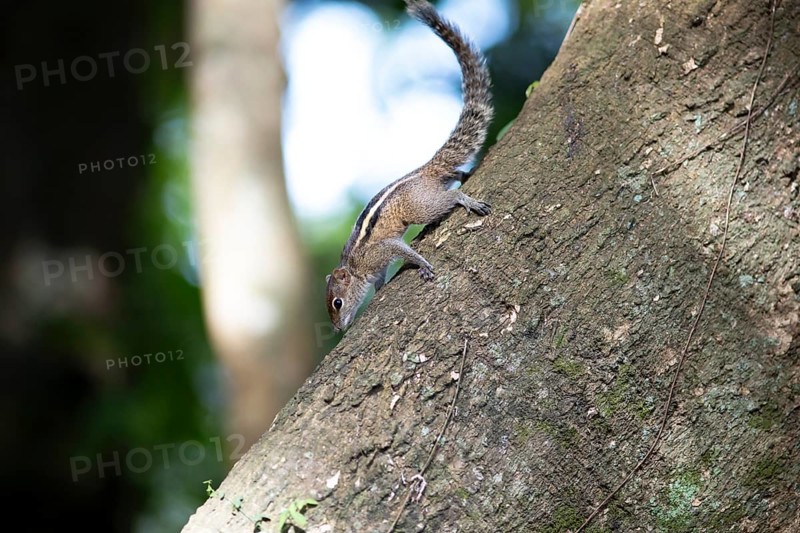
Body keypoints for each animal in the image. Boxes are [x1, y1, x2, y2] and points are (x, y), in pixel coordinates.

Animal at [325, 0, 494, 331]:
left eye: (337, 303)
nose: (338, 328)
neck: (354, 269)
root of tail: (424, 170)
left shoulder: (381, 251)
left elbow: (402, 251)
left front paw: (422, 264)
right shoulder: (375, 266)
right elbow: (379, 278)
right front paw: (379, 289)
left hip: (419, 206)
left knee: (448, 197)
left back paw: (465, 198)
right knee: (453, 175)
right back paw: (463, 173)